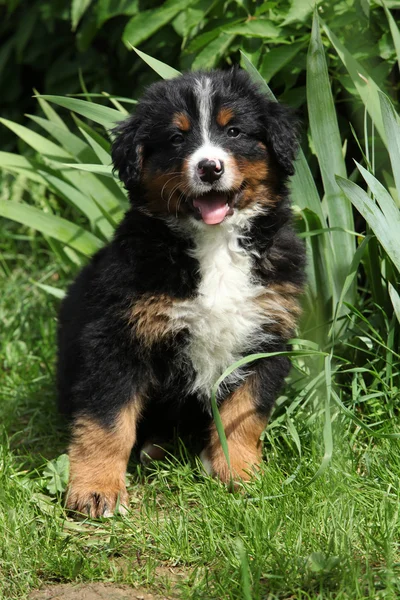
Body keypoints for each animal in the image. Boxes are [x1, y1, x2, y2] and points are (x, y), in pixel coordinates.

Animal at [57, 64, 306, 516]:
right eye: (177, 138)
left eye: (235, 131)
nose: (209, 168)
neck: (216, 245)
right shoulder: (117, 337)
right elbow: (106, 420)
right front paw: (96, 489)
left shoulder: (266, 335)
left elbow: (245, 414)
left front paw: (240, 472)